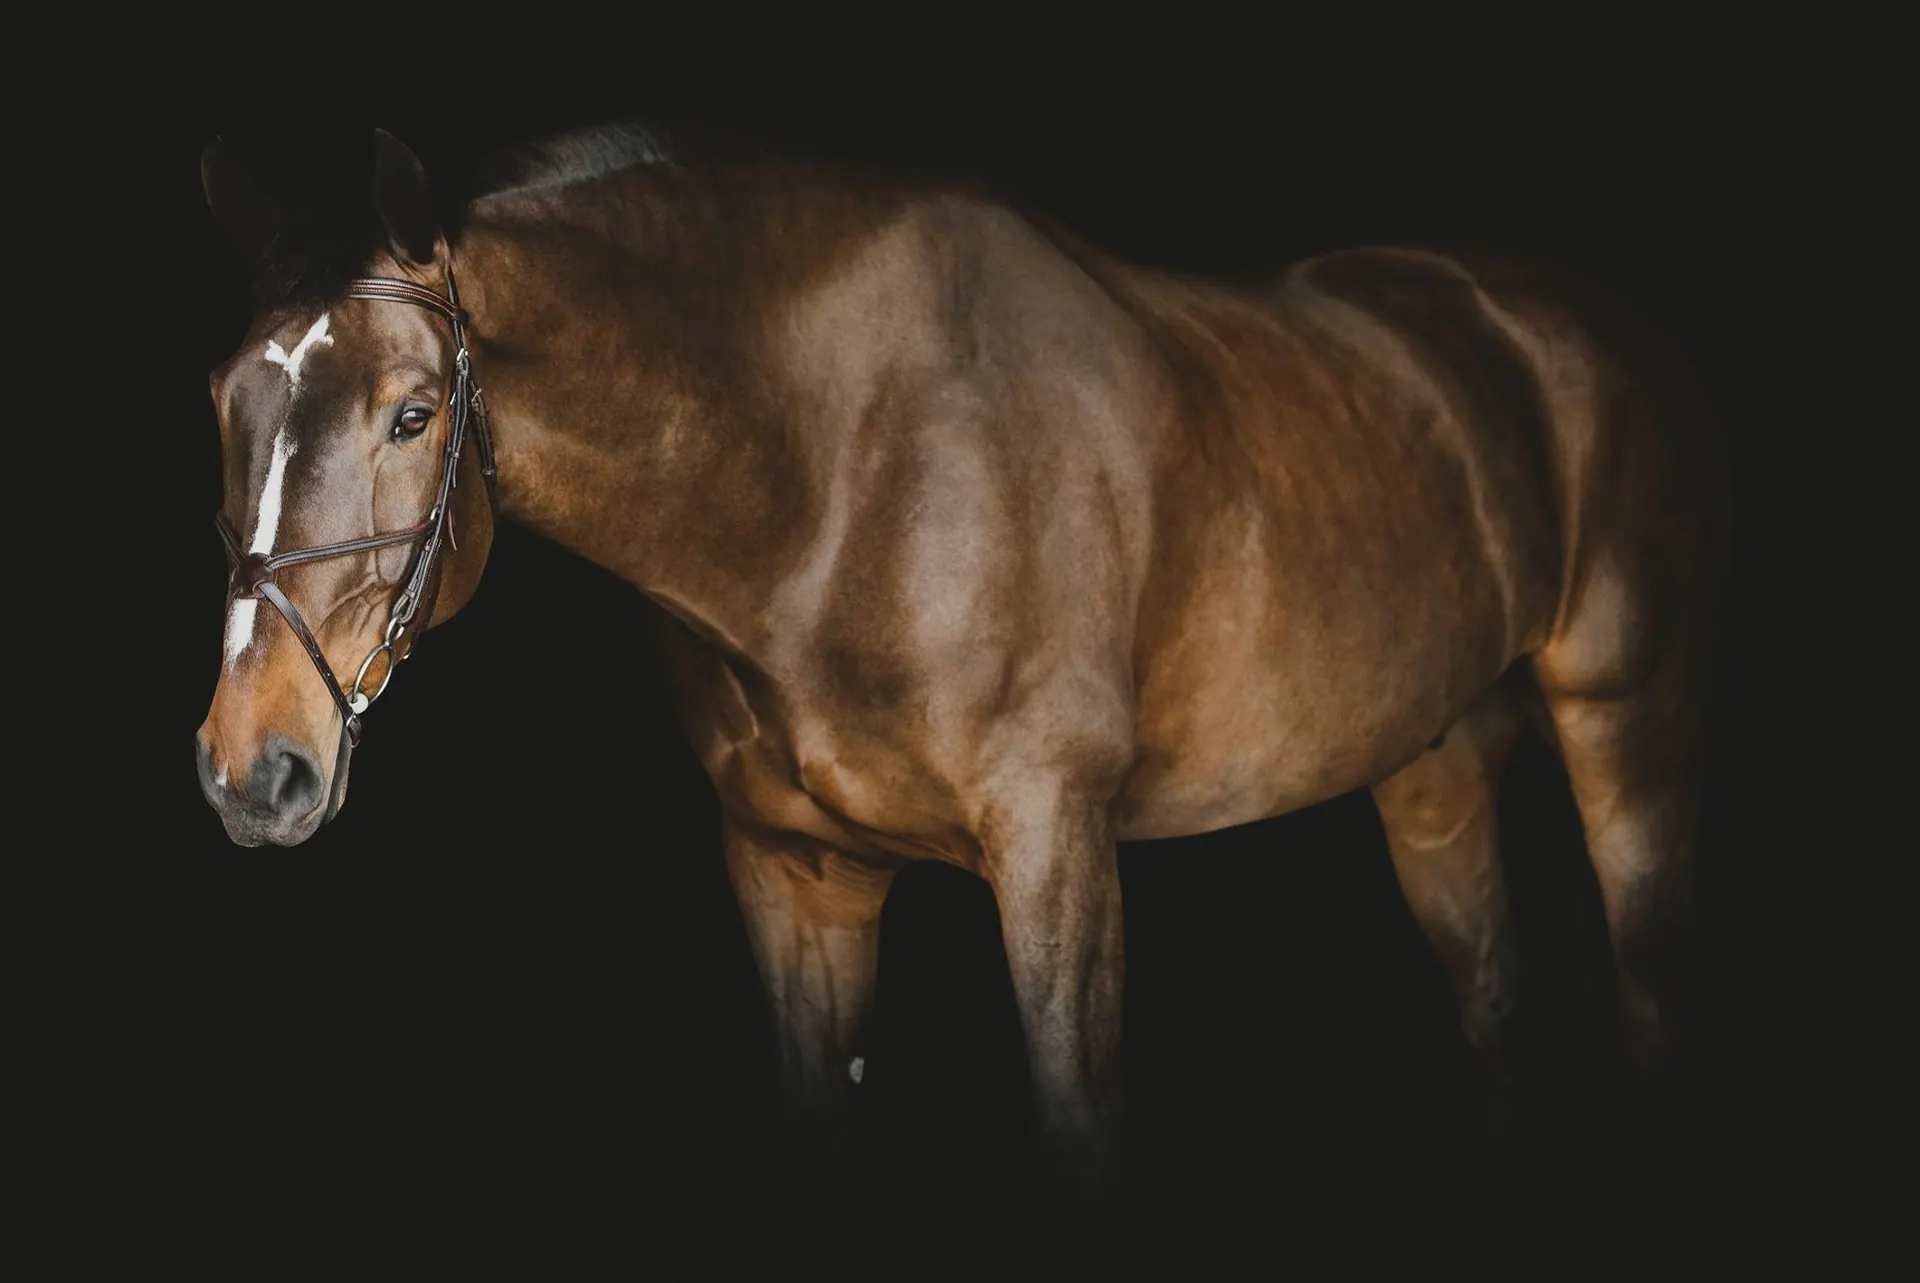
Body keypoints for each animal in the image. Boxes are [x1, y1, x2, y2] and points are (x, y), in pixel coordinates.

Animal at [192, 121, 1731, 1217]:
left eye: (413, 412)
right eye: (223, 404)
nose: (251, 767)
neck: (837, 470)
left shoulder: (1056, 849)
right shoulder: (793, 871)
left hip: (1627, 717)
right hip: (1433, 763)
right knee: (1501, 1017)